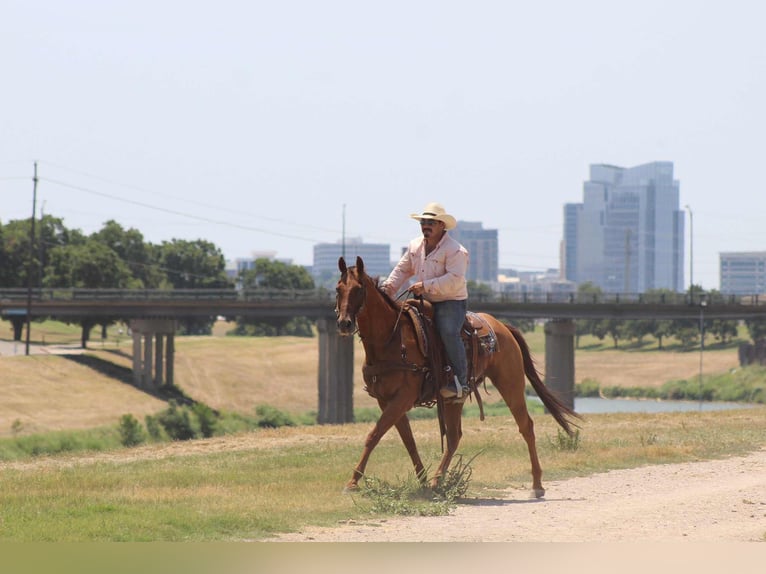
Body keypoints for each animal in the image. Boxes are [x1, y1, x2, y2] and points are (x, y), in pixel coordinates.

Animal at [335, 256, 581, 498]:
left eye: (359, 289)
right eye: (338, 289)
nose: (344, 323)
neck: (391, 340)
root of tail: (503, 327)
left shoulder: (403, 398)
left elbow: (375, 434)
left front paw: (352, 482)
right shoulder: (385, 400)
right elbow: (407, 440)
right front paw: (422, 481)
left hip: (511, 385)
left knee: (526, 426)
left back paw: (537, 485)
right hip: (455, 398)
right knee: (454, 437)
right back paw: (437, 480)